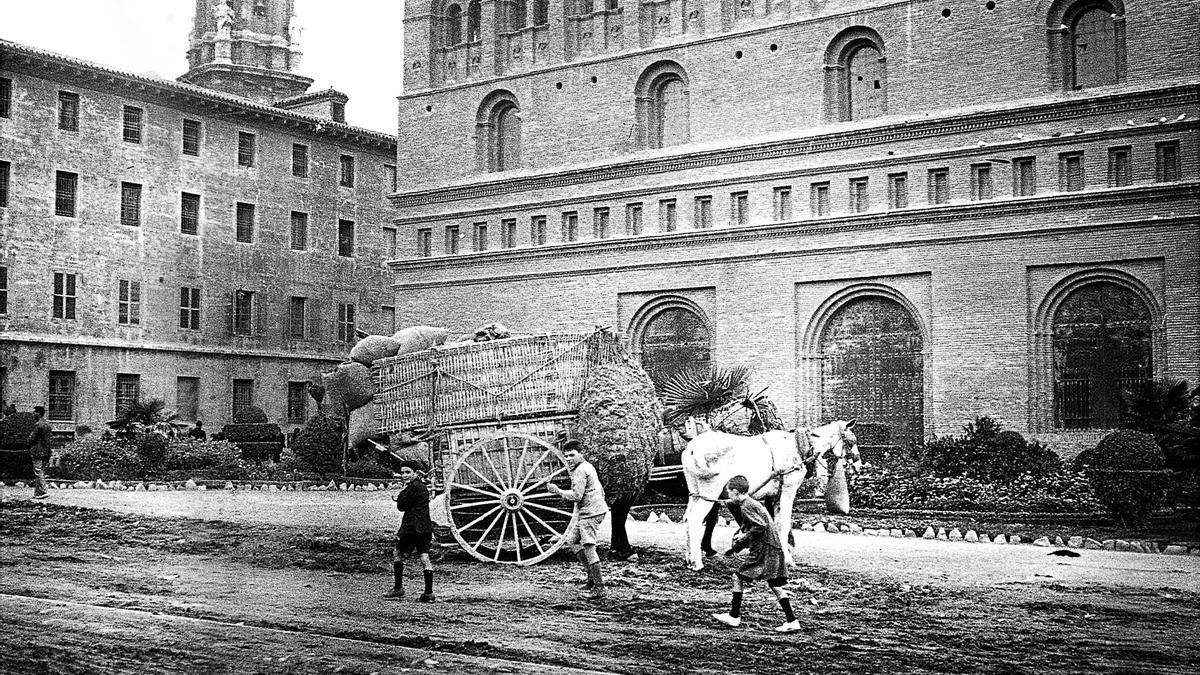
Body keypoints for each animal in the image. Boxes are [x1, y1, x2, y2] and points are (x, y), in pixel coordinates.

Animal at [681, 417, 859, 569]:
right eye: (851, 441)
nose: (858, 465)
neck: (798, 447)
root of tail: (692, 448)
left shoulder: (774, 496)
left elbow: (775, 523)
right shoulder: (788, 490)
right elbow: (784, 524)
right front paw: (787, 559)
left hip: (696, 493)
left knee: (688, 518)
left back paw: (690, 559)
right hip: (711, 492)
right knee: (695, 519)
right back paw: (697, 562)